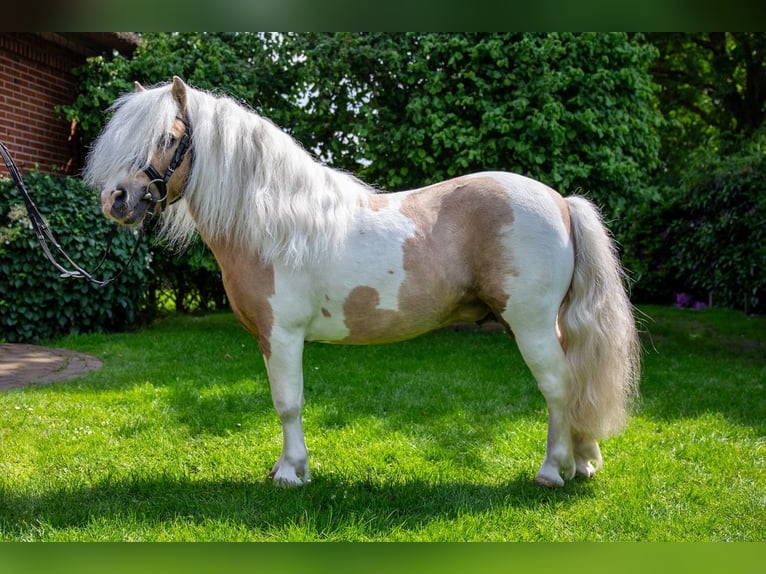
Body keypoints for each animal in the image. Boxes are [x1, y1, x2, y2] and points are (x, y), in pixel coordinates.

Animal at [82, 76, 640, 490]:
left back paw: (552, 471)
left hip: (530, 324)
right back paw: (583, 461)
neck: (271, 224)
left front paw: (291, 473)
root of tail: (560, 201)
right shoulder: (268, 338)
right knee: (576, 381)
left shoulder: (283, 335)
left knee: (559, 385)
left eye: (168, 138)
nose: (117, 199)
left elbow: (288, 402)